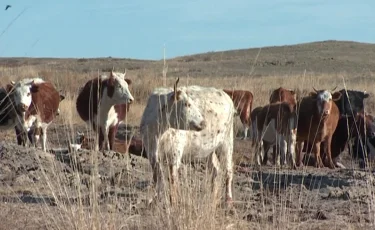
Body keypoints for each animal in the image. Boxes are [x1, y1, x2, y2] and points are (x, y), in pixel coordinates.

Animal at [141, 78, 235, 208]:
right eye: (187, 104)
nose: (203, 123)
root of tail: (225, 95)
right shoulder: (152, 154)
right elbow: (157, 177)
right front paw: (155, 200)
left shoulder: (174, 154)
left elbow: (172, 178)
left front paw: (173, 201)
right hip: (209, 149)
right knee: (215, 170)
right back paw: (212, 198)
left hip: (226, 142)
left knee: (228, 171)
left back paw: (228, 200)